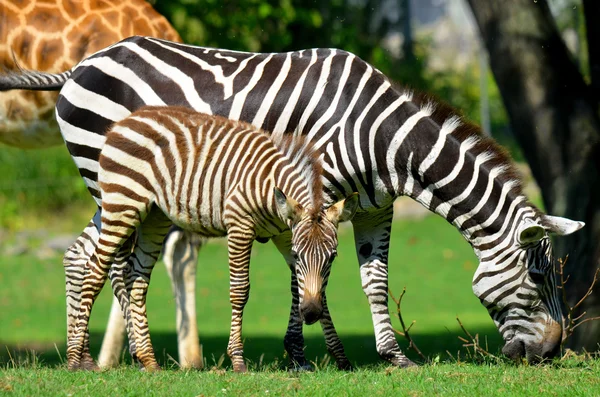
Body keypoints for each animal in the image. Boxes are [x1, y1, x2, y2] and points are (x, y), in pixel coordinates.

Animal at [71, 105, 360, 372]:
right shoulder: (240, 227)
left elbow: (314, 289)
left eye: (332, 257)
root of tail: (126, 120)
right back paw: (77, 360)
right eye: (300, 255)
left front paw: (341, 357)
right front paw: (238, 360)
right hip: (122, 205)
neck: (270, 191)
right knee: (94, 270)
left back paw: (149, 361)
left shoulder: (286, 235)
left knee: (137, 280)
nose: (310, 314)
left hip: (154, 217)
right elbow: (240, 290)